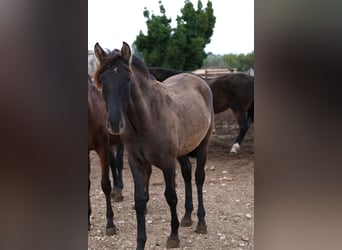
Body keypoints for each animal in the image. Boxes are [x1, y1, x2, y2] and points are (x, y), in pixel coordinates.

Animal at [94, 42, 214, 249]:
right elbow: (140, 200)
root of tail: (198, 80)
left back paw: (201, 222)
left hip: (203, 145)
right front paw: (140, 242)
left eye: (128, 78)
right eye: (102, 79)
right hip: (182, 151)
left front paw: (173, 236)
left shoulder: (167, 162)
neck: (147, 118)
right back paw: (187, 217)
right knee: (187, 174)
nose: (115, 124)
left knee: (198, 178)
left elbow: (171, 196)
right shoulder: (136, 162)